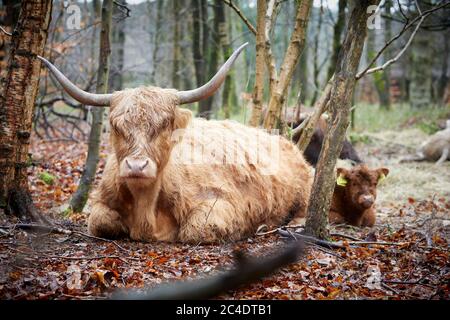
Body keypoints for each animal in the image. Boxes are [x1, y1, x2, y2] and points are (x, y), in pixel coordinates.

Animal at [39, 43, 312, 244]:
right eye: (117, 126)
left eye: (164, 125)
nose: (136, 166)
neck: (146, 207)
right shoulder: (102, 202)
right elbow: (99, 222)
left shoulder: (222, 204)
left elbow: (197, 230)